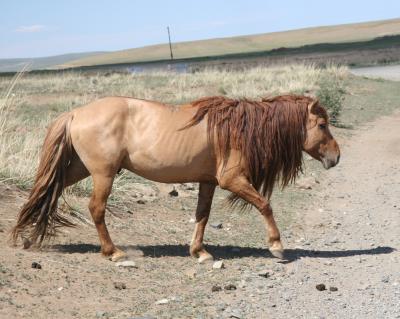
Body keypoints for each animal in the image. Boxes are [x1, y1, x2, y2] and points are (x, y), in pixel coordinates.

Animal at [10, 94, 340, 262]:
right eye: (322, 125)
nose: (336, 157)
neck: (240, 129)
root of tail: (76, 113)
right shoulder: (232, 180)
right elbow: (265, 205)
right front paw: (276, 246)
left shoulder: (208, 182)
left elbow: (202, 215)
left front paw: (199, 251)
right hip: (103, 174)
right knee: (96, 208)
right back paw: (112, 252)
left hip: (78, 169)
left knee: (47, 192)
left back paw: (29, 236)